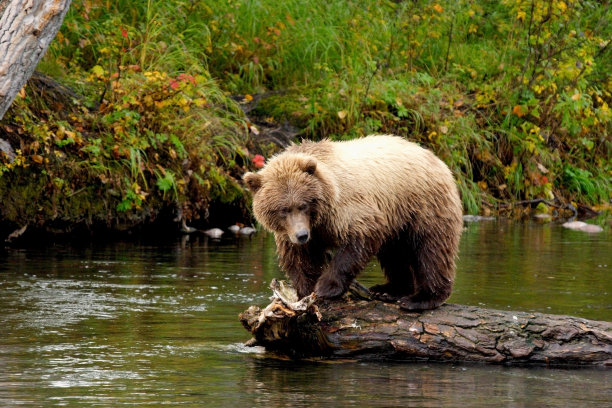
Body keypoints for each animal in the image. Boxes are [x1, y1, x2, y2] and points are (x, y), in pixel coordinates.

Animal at [241, 134, 462, 310]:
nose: (301, 235)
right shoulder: (293, 233)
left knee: (431, 249)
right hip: (397, 216)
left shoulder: (348, 208)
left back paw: (421, 298)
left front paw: (325, 287)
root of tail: (436, 159)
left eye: (303, 205)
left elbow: (359, 239)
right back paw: (389, 290)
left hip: (422, 204)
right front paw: (305, 291)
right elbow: (300, 259)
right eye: (283, 209)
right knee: (394, 253)